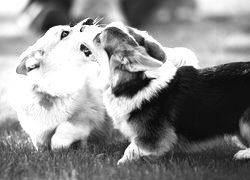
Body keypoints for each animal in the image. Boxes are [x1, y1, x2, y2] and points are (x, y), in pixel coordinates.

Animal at [91, 21, 250, 164]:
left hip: (244, 122)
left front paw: (120, 163)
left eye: (99, 38)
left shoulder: (152, 138)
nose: (87, 24)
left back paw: (243, 154)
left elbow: (130, 150)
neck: (135, 83)